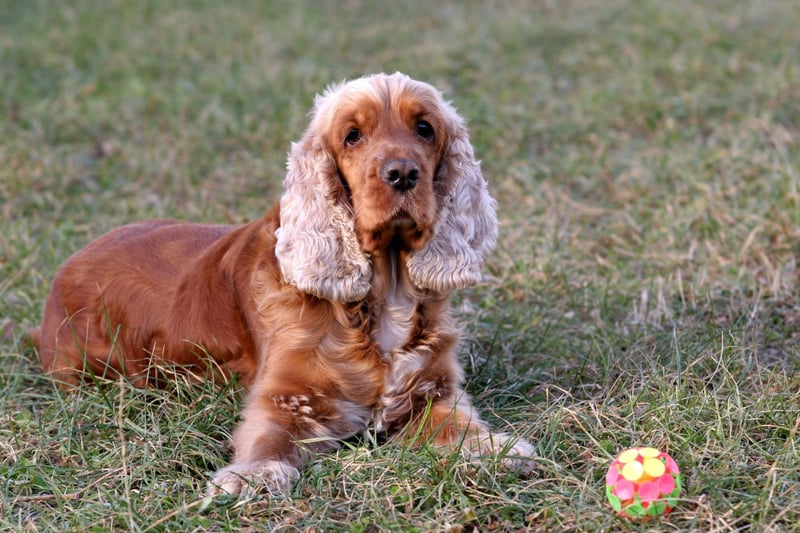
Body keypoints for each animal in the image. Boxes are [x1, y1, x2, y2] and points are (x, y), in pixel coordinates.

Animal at [32, 71, 532, 494]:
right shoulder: (286, 394)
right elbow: (269, 437)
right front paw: (252, 475)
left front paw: (494, 448)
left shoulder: (431, 389)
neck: (383, 292)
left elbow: (459, 422)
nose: (403, 173)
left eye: (425, 129)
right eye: (352, 135)